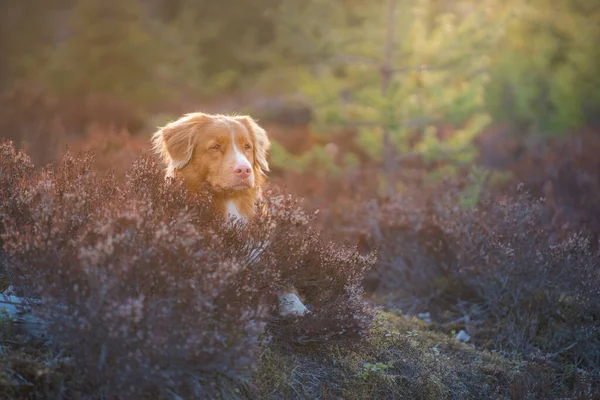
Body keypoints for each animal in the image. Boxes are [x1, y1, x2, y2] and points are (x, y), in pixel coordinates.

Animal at [152, 111, 310, 316]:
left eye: (247, 147)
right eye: (215, 147)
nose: (244, 170)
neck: (229, 201)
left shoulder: (258, 251)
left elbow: (280, 279)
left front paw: (294, 304)